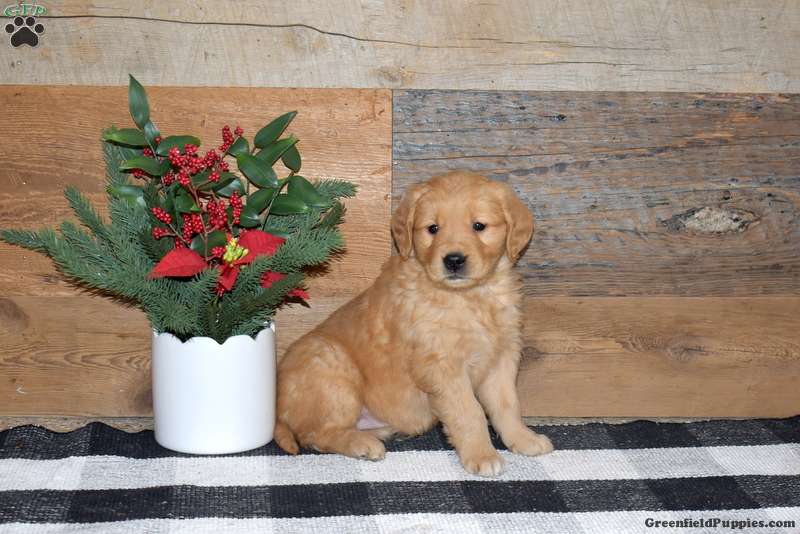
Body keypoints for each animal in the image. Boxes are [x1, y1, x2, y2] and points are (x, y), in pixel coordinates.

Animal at [274, 171, 553, 476]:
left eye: (479, 226)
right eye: (433, 228)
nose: (454, 260)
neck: (468, 297)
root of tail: (277, 410)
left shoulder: (502, 357)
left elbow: (507, 404)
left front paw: (523, 439)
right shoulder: (443, 366)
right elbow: (470, 412)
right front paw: (482, 455)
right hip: (332, 369)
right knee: (316, 434)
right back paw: (363, 444)